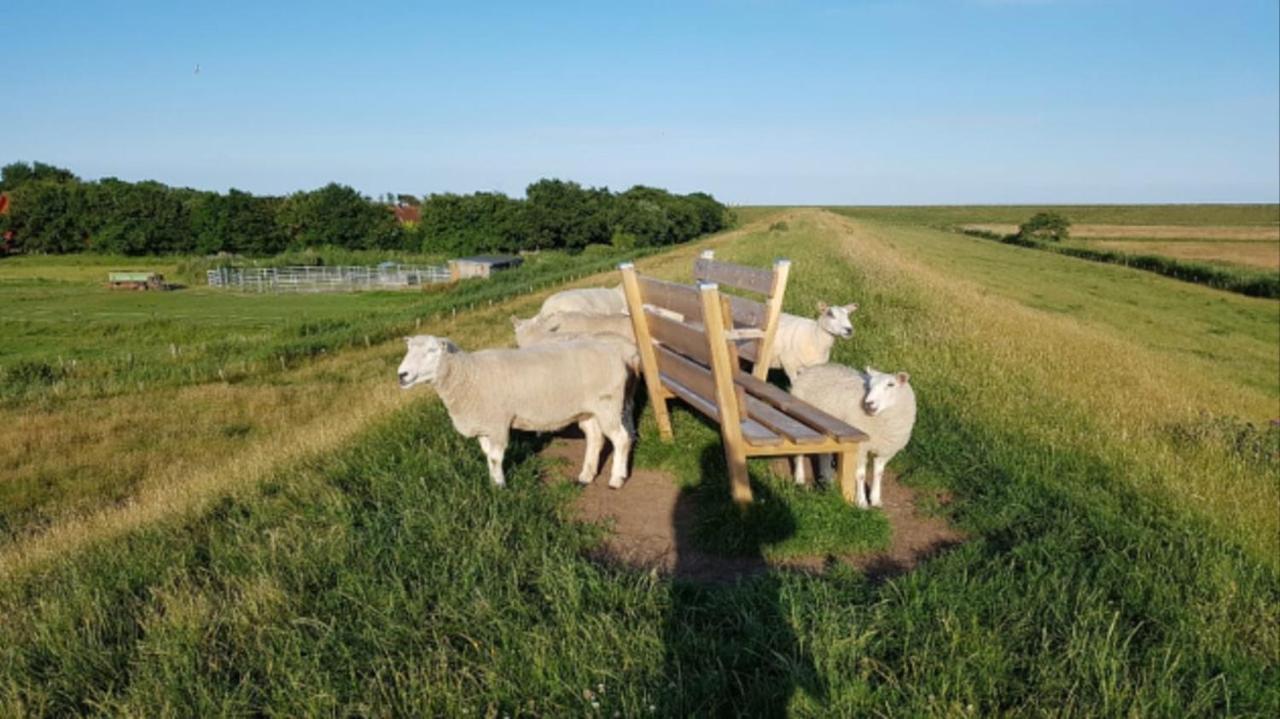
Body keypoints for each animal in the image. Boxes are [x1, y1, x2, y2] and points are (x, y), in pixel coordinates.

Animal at [396, 335, 632, 486]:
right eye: (408, 350)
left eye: (431, 351)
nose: (401, 375)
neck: (469, 374)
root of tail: (614, 352)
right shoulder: (485, 425)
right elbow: (487, 456)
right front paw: (492, 483)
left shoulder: (497, 423)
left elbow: (495, 457)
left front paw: (500, 487)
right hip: (588, 409)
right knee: (595, 438)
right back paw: (587, 475)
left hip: (608, 405)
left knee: (621, 439)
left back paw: (616, 479)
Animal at [783, 363, 916, 504]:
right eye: (869, 386)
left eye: (891, 385)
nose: (869, 403)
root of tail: (810, 369)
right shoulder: (860, 447)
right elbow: (860, 475)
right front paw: (861, 502)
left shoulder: (885, 450)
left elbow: (878, 474)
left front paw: (875, 500)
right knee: (799, 452)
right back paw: (799, 478)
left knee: (825, 454)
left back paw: (827, 479)